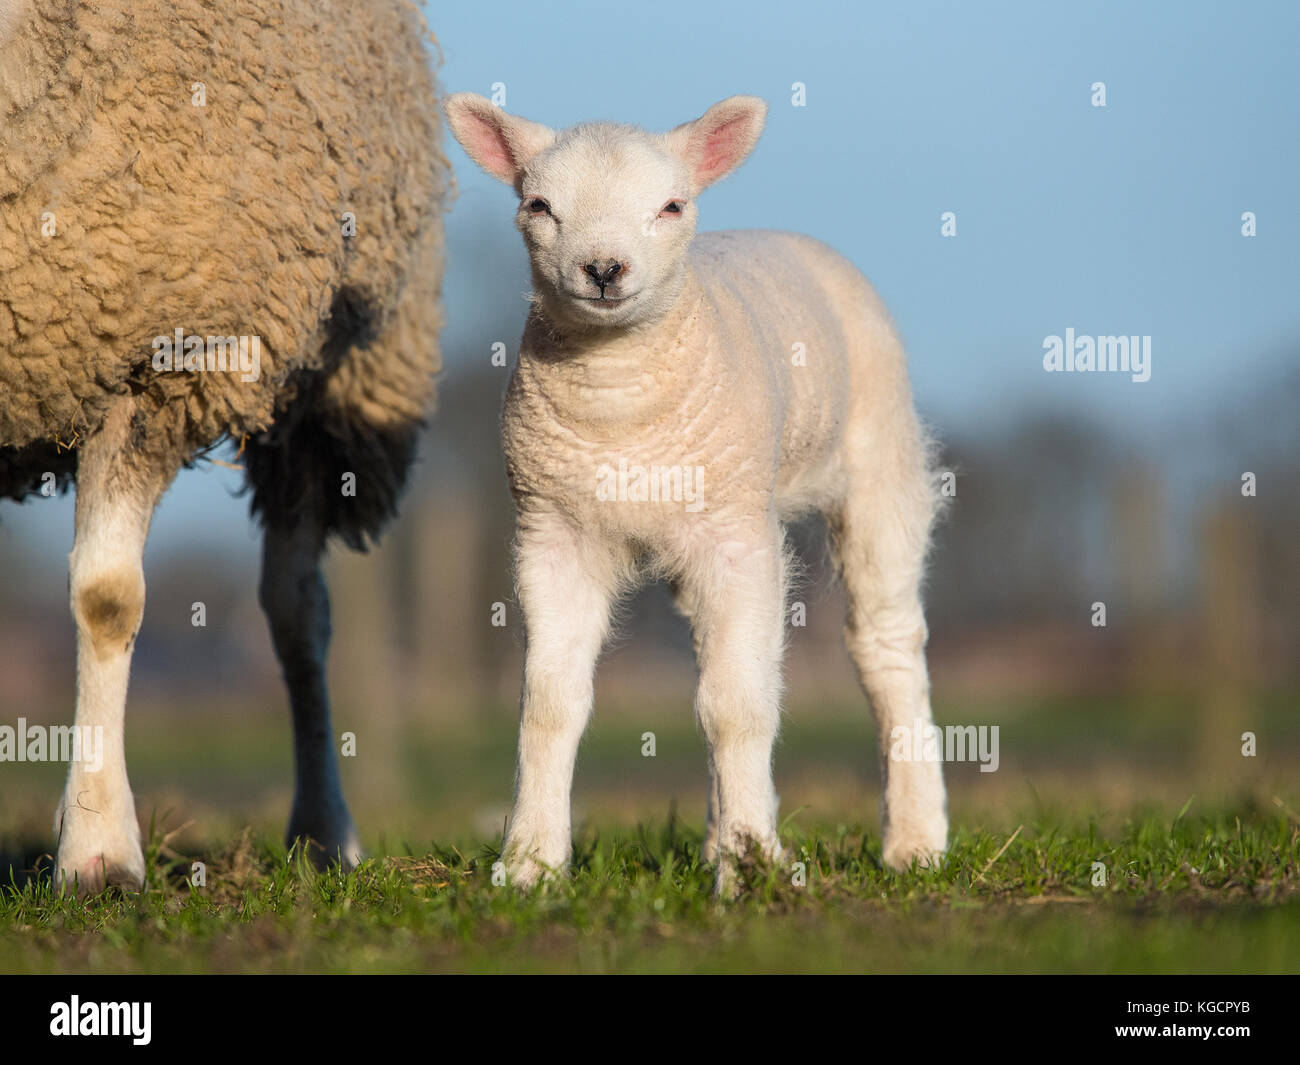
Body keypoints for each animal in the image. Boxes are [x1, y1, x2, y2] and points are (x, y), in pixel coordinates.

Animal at [0, 0, 447, 892]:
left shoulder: (162, 358)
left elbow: (106, 598)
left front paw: (98, 851)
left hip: (324, 395)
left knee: (298, 611)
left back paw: (324, 831)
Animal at [445, 92, 949, 893]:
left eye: (672, 206)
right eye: (539, 205)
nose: (603, 267)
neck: (618, 401)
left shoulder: (738, 538)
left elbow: (737, 707)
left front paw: (749, 871)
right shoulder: (553, 532)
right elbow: (551, 705)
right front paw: (530, 865)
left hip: (880, 461)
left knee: (886, 642)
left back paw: (915, 843)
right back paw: (723, 838)